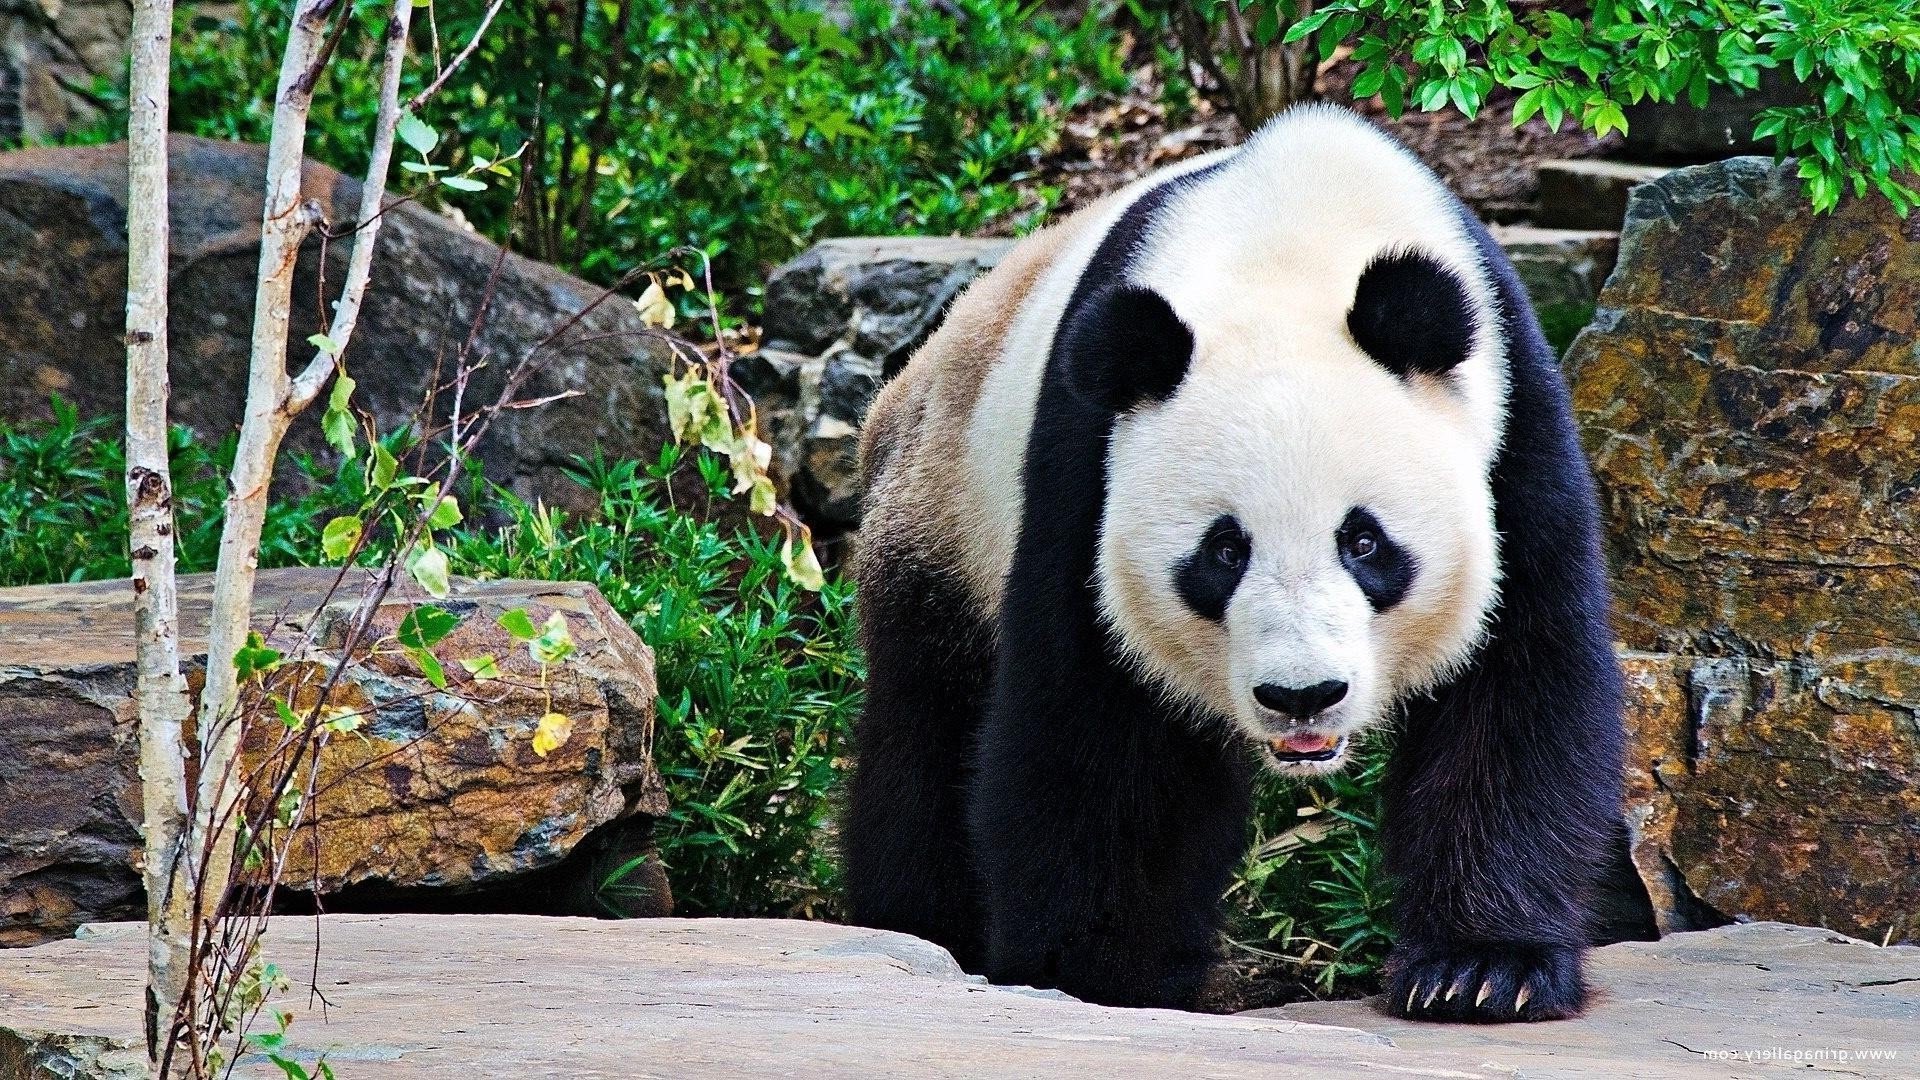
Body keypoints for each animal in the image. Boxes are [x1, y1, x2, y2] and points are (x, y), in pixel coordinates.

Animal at [840, 105, 1620, 1022]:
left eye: (1364, 542)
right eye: (1224, 550)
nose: (1302, 696)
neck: (1296, 232)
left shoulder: (1514, 429)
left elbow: (1518, 683)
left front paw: (1480, 971)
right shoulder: (1084, 465)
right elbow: (1101, 728)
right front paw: (1101, 973)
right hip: (943, 509)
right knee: (924, 731)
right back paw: (917, 923)